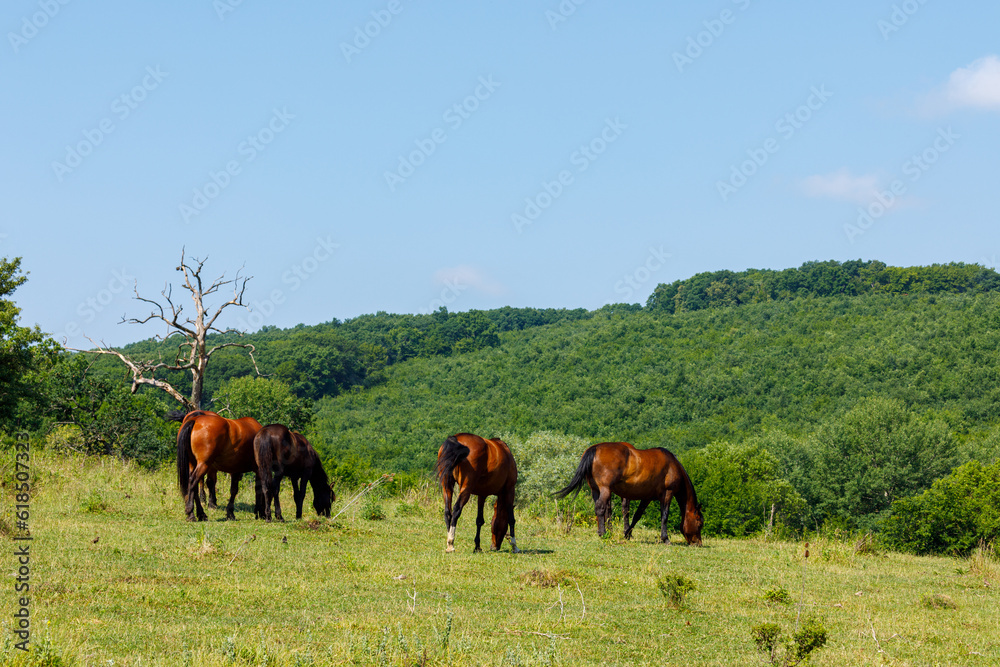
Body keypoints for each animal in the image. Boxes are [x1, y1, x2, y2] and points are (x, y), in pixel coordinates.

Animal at [556, 440, 704, 544]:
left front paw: (627, 533)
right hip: (605, 489)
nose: (698, 543)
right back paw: (603, 533)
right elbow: (664, 515)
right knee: (600, 508)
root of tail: (594, 449)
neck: (672, 465)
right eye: (699, 523)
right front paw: (665, 538)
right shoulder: (667, 493)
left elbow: (637, 516)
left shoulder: (647, 497)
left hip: (595, 490)